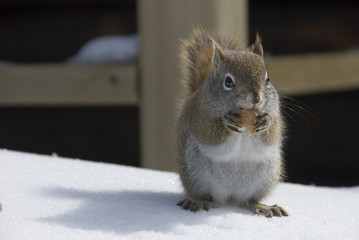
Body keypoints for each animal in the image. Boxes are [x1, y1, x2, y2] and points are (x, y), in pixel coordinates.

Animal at [175, 28, 290, 218]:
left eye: (267, 79)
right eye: (228, 82)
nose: (256, 98)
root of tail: (230, 196)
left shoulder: (275, 112)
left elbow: (273, 134)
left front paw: (266, 121)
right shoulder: (199, 116)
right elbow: (210, 135)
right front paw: (226, 123)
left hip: (266, 175)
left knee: (249, 200)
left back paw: (263, 207)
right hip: (196, 174)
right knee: (209, 196)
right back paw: (199, 202)